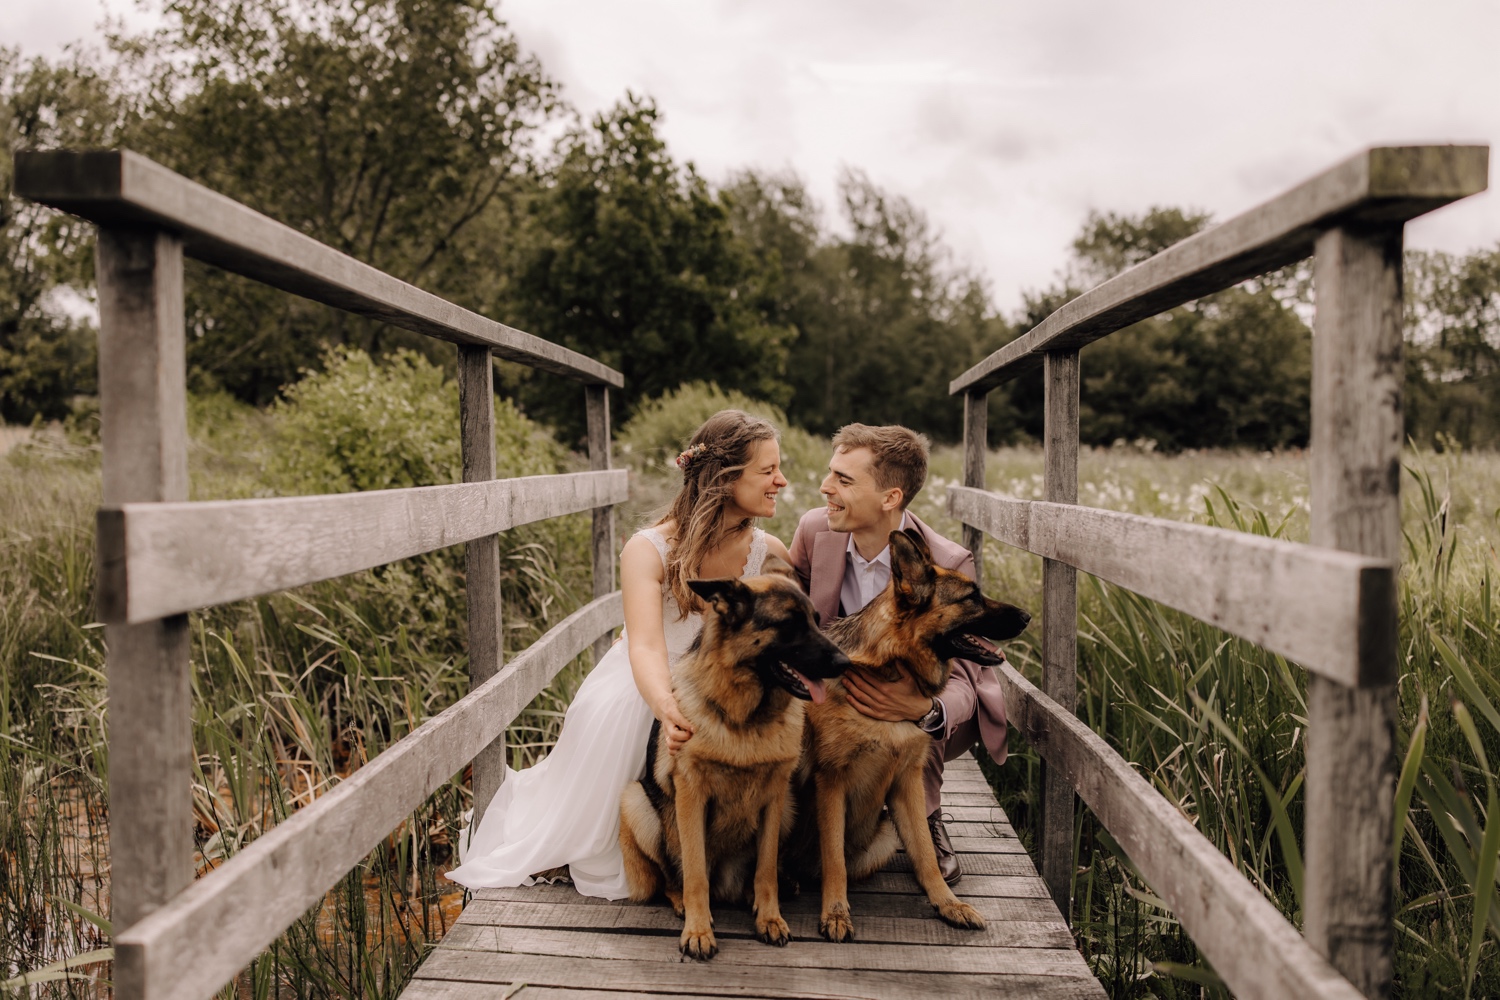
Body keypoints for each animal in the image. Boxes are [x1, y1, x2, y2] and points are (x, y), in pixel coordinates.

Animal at [621, 560, 858, 959]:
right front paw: (698, 930)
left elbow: (765, 869)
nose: (845, 663)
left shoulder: (775, 798)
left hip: (790, 808)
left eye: (815, 620)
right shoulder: (691, 796)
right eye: (789, 624)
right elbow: (695, 873)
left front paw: (770, 918)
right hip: (635, 801)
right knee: (672, 877)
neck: (746, 720)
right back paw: (682, 902)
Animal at [798, 527, 1032, 941]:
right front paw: (836, 913)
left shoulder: (907, 782)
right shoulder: (831, 783)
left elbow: (924, 852)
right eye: (971, 597)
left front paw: (948, 904)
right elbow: (834, 858)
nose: (1028, 616)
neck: (889, 664)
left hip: (885, 836)